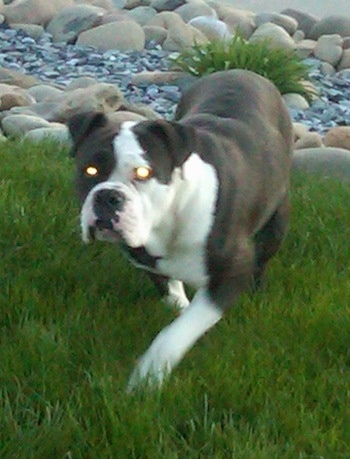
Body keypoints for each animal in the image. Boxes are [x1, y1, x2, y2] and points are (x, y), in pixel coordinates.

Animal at [67, 69, 292, 392]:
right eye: (89, 171)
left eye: (143, 172)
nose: (108, 196)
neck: (169, 217)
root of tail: (243, 71)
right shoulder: (147, 258)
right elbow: (169, 289)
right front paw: (177, 304)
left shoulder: (232, 271)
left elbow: (177, 332)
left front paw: (149, 376)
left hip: (277, 216)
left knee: (265, 254)